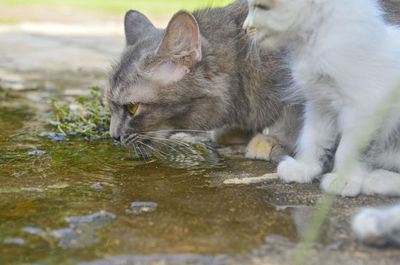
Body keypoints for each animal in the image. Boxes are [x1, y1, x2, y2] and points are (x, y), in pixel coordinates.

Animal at [106, 0, 300, 161]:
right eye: (110, 106)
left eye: (132, 107)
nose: (113, 136)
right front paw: (234, 132)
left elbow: (292, 115)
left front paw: (272, 141)